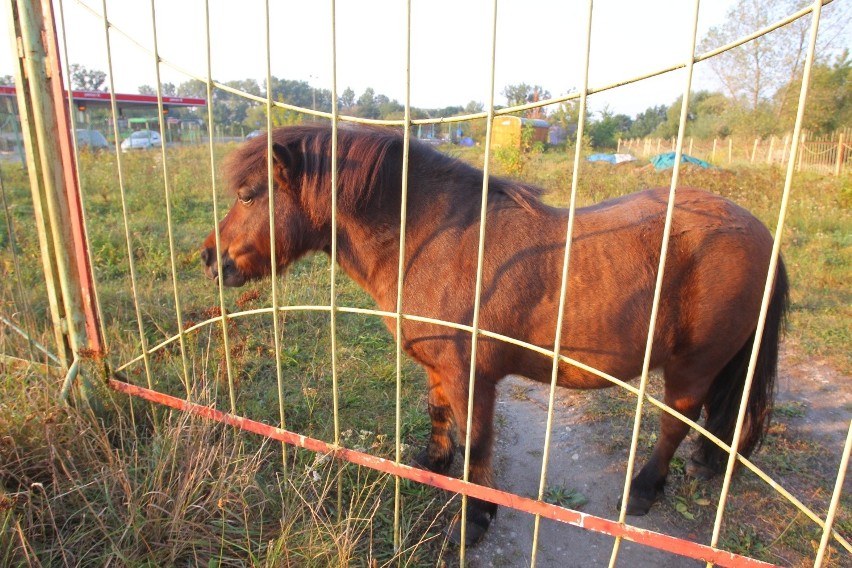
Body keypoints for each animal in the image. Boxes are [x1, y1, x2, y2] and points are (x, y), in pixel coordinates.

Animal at [200, 123, 784, 540]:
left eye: (248, 195)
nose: (210, 258)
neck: (434, 240)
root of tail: (761, 232)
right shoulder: (440, 371)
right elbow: (440, 418)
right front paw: (433, 465)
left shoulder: (473, 380)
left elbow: (478, 449)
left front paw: (474, 519)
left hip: (692, 366)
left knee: (674, 425)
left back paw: (642, 491)